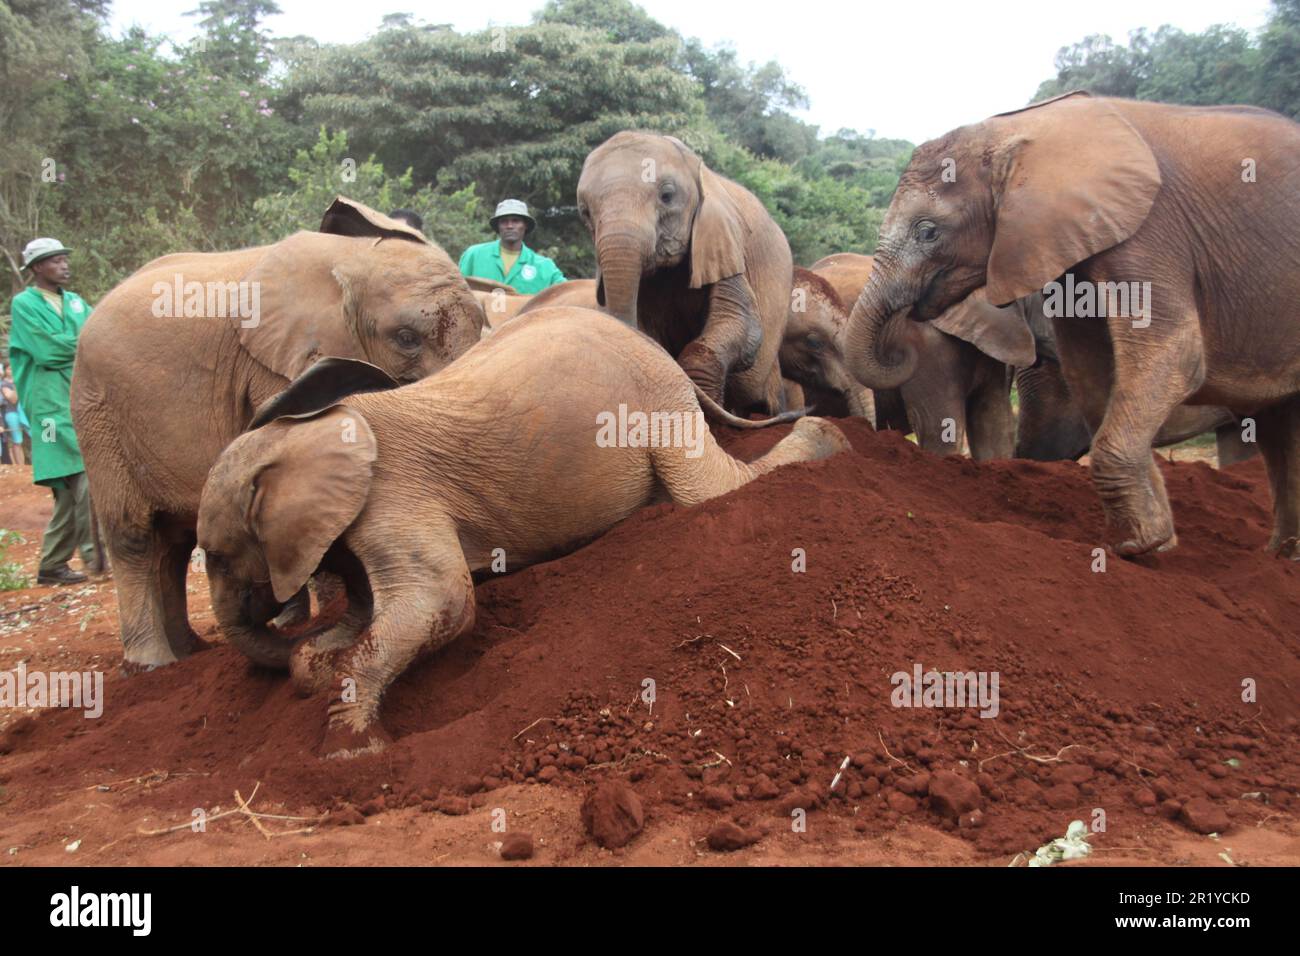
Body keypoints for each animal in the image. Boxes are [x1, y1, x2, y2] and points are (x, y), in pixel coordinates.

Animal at [71, 198, 485, 671]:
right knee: (133, 535)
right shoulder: (269, 366)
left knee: (173, 543)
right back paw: (153, 664)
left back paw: (190, 653)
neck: (350, 262)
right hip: (97, 414)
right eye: (406, 338)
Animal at [195, 308, 849, 758]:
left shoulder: (393, 493)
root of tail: (651, 345)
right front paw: (319, 669)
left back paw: (831, 442)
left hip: (657, 404)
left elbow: (444, 604)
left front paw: (350, 755)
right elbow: (368, 617)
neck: (299, 438)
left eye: (217, 555)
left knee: (705, 490)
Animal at [845, 91, 1300, 556]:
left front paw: (1138, 545)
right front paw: (1154, 540)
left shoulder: (1151, 232)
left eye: (928, 232)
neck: (1020, 131)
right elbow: (1093, 371)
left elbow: (1175, 357)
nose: (899, 346)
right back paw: (1281, 555)